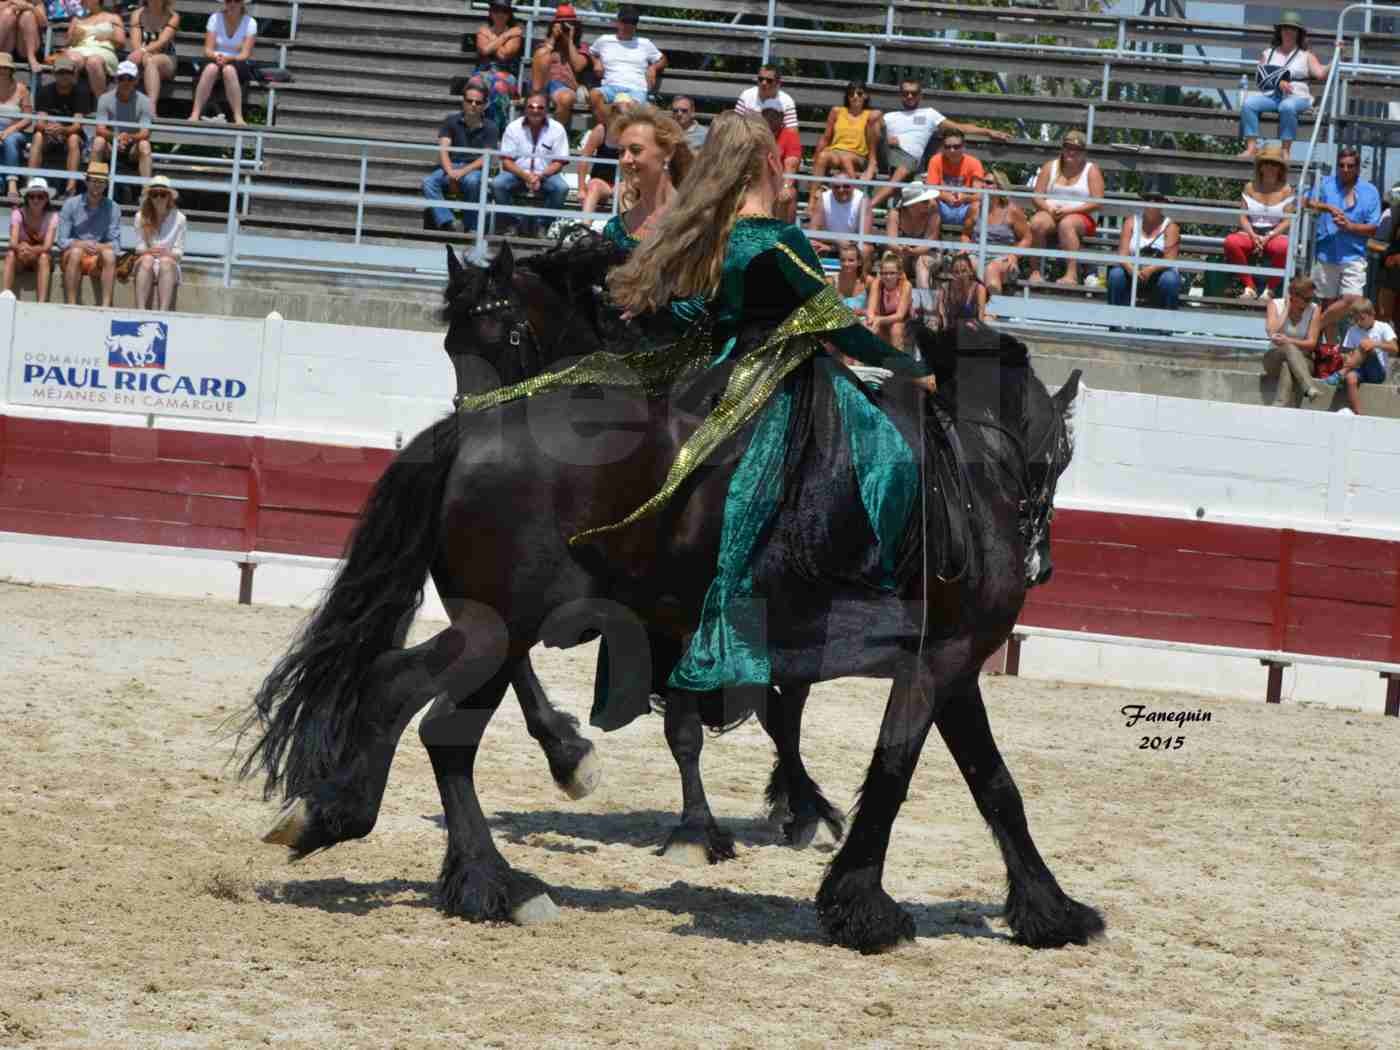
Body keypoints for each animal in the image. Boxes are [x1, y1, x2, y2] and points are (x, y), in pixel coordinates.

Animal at [238, 238, 1092, 952]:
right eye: (1061, 455)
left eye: (507, 336)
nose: (1044, 560)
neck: (964, 469)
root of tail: (471, 437)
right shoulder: (936, 658)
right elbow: (896, 774)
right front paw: (862, 906)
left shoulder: (938, 664)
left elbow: (990, 783)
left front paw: (1048, 909)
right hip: (501, 625)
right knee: (414, 702)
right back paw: (388, 836)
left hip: (501, 625)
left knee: (432, 718)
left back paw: (464, 871)